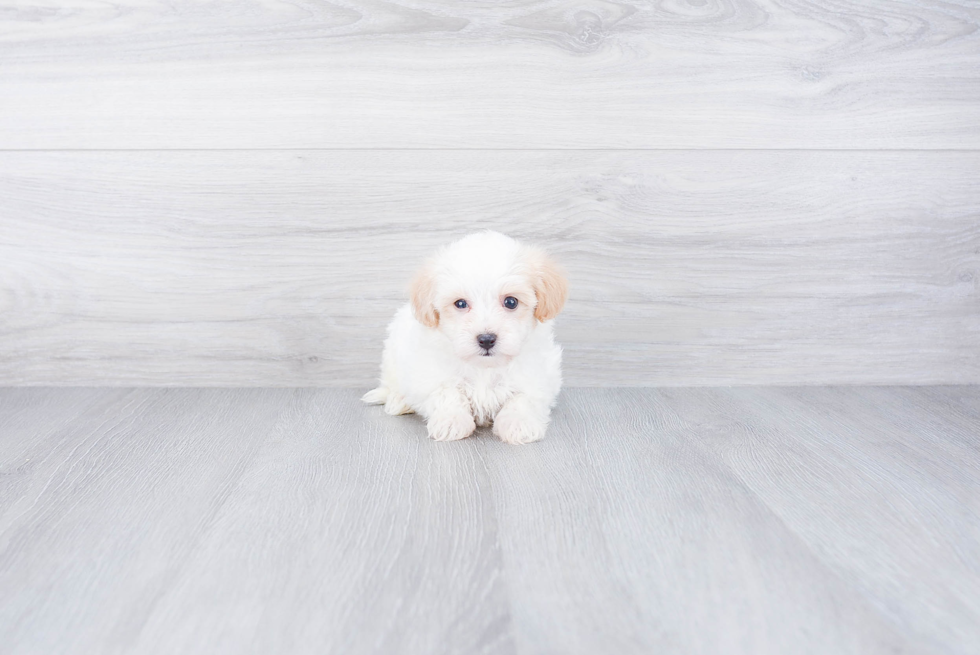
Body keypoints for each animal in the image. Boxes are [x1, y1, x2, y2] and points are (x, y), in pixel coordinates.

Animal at [364, 232, 572, 446]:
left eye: (511, 302)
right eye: (461, 304)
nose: (486, 339)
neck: (484, 368)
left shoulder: (539, 376)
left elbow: (523, 398)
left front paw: (519, 423)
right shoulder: (431, 374)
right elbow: (448, 394)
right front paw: (451, 421)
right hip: (392, 354)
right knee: (392, 383)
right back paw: (399, 401)